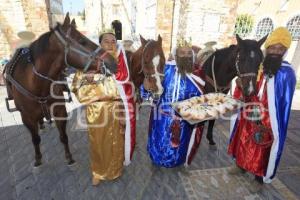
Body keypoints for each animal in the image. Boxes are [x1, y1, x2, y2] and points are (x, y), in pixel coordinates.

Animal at [4, 13, 118, 167]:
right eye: (82, 41)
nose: (113, 62)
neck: (37, 85)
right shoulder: (26, 118)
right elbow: (35, 139)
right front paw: (38, 158)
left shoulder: (60, 111)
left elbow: (63, 136)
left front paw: (69, 157)